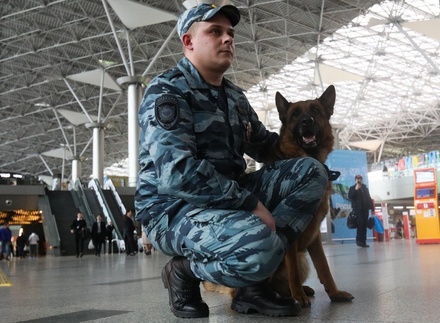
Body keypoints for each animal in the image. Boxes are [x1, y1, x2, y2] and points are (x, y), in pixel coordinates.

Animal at [204, 86, 354, 312]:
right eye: (295, 114)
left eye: (315, 110)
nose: (306, 121)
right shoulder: (292, 234)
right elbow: (293, 272)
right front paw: (299, 296)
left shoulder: (315, 237)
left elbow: (324, 268)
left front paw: (334, 294)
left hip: (303, 258)